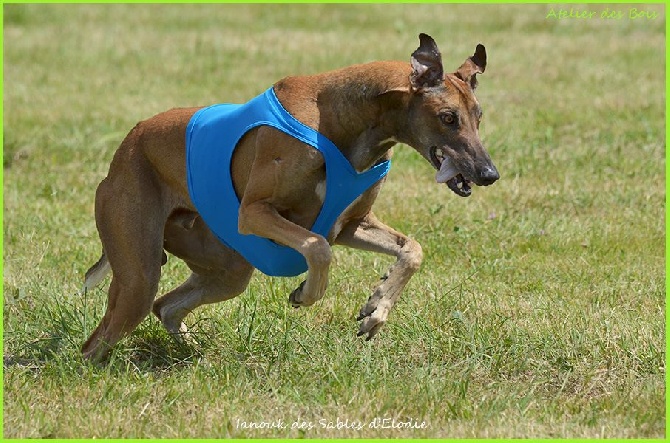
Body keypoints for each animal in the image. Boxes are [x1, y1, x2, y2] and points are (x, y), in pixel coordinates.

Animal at [81, 33, 498, 362]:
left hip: (227, 269)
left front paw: (375, 309)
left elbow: (412, 250)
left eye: (478, 116)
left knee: (165, 306)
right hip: (138, 270)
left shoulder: (352, 224)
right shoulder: (255, 212)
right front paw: (307, 294)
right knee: (99, 340)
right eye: (447, 117)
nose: (489, 174)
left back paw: (193, 351)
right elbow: (317, 247)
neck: (342, 119)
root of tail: (124, 149)